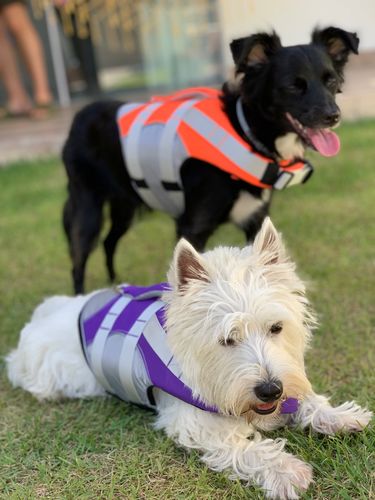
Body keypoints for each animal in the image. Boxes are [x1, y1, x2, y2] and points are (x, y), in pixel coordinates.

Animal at [5, 220, 374, 500]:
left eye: (276, 327)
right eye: (227, 339)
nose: (270, 390)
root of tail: (48, 312)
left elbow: (308, 399)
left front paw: (341, 416)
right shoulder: (196, 423)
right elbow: (246, 448)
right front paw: (286, 470)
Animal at [63, 27, 360, 292]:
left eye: (330, 80)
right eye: (292, 86)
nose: (333, 116)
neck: (245, 133)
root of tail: (80, 115)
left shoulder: (255, 221)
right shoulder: (192, 228)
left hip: (124, 206)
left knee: (109, 242)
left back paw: (113, 285)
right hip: (88, 210)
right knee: (78, 261)